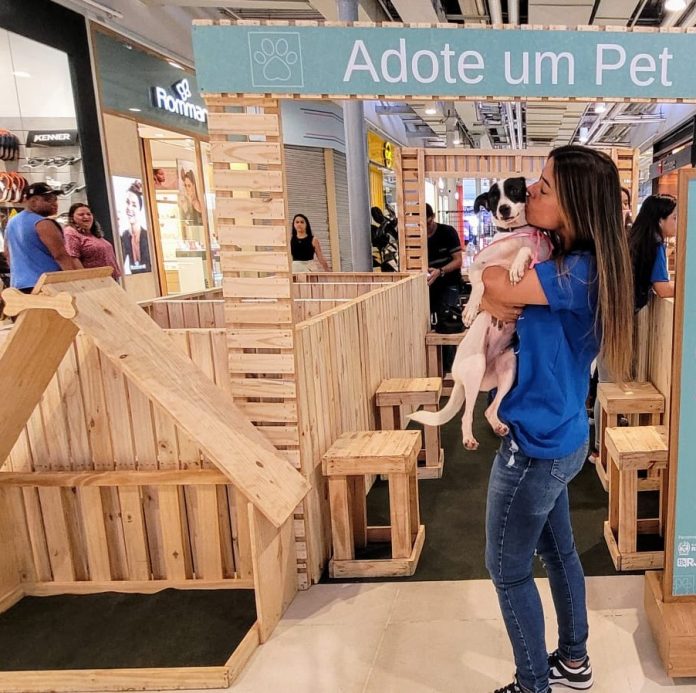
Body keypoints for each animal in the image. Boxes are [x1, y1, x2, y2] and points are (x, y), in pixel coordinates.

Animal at [410, 177, 552, 448]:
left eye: (515, 190)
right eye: (494, 197)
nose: (503, 209)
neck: (514, 233)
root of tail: (457, 377)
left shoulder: (540, 258)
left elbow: (525, 252)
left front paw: (516, 266)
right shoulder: (478, 264)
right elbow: (479, 284)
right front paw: (470, 309)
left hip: (509, 368)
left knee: (488, 409)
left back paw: (497, 425)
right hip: (476, 367)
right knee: (467, 414)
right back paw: (468, 438)